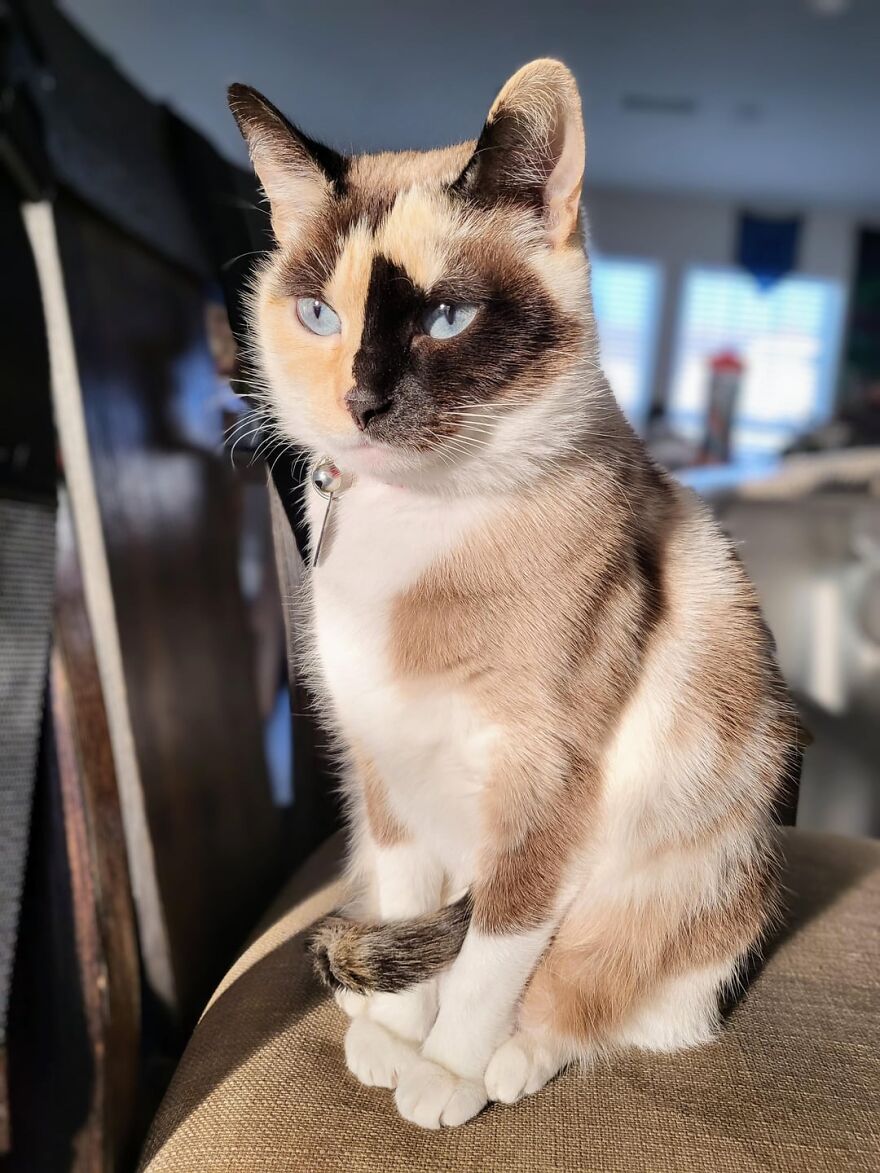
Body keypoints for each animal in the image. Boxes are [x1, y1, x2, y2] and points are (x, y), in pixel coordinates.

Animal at [228, 61, 807, 1126]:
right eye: (321, 314)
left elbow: (496, 950)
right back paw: (372, 1026)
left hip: (694, 873)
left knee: (618, 1004)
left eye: (446, 318)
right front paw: (398, 1039)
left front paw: (445, 1071)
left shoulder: (543, 785)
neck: (415, 526)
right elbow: (415, 913)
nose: (361, 404)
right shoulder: (386, 770)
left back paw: (508, 1061)